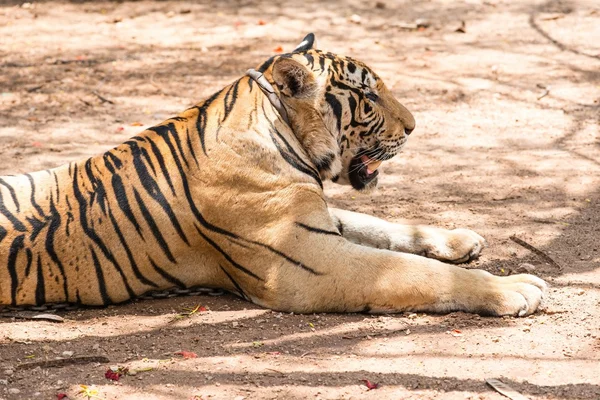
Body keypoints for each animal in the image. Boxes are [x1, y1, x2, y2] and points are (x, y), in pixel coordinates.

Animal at [0, 34, 548, 316]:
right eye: (368, 96)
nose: (414, 126)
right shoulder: (310, 264)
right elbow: (416, 271)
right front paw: (516, 288)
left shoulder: (316, 221)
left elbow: (383, 227)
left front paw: (460, 238)